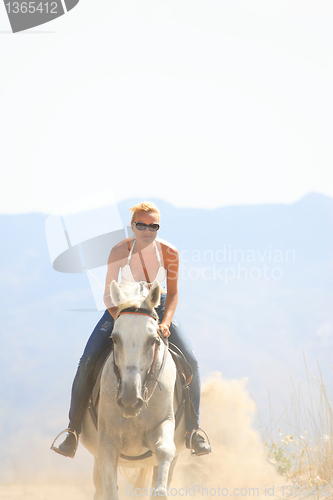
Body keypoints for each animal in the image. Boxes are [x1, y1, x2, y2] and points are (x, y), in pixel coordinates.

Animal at [79, 282, 185, 500]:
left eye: (153, 340)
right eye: (114, 338)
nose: (130, 401)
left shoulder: (165, 423)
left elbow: (165, 450)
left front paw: (160, 492)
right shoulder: (107, 444)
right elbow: (110, 491)